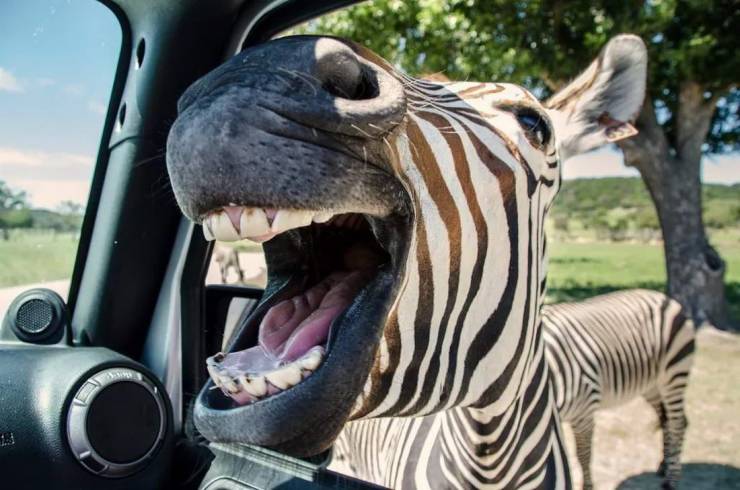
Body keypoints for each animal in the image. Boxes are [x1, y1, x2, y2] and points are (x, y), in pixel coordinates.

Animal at [544, 290, 692, 490]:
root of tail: (664, 297)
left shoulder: (584, 413)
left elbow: (582, 456)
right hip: (652, 385)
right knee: (667, 419)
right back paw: (664, 465)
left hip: (674, 375)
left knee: (678, 423)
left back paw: (672, 479)